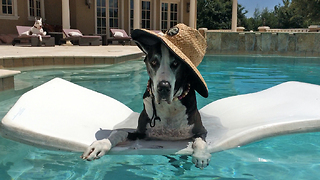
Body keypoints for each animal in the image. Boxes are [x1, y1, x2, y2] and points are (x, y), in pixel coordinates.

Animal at [80, 22, 210, 169]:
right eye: (153, 62)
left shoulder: (201, 131)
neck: (169, 107)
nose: (163, 86)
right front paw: (100, 144)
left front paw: (201, 156)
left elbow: (200, 141)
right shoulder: (140, 133)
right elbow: (118, 132)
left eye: (176, 63)